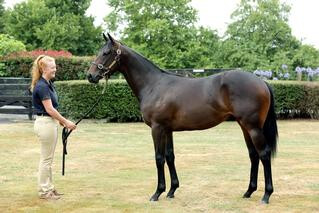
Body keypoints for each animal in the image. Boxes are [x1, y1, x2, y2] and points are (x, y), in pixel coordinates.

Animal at [87, 32, 278, 203]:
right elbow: (170, 156)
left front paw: (157, 193)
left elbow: (159, 158)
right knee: (253, 155)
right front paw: (172, 190)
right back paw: (248, 192)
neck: (153, 85)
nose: (90, 76)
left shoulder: (157, 128)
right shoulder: (167, 130)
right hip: (244, 126)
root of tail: (261, 81)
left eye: (106, 53)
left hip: (253, 127)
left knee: (264, 154)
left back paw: (266, 195)